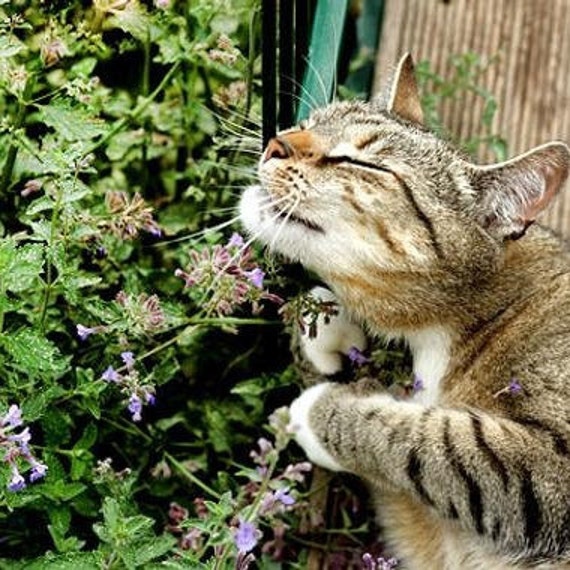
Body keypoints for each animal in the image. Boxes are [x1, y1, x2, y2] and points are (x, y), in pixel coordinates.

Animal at [237, 54, 568, 568]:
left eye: (360, 162)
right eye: (308, 124)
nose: (276, 141)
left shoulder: (546, 468)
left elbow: (432, 442)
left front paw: (318, 412)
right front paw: (330, 329)